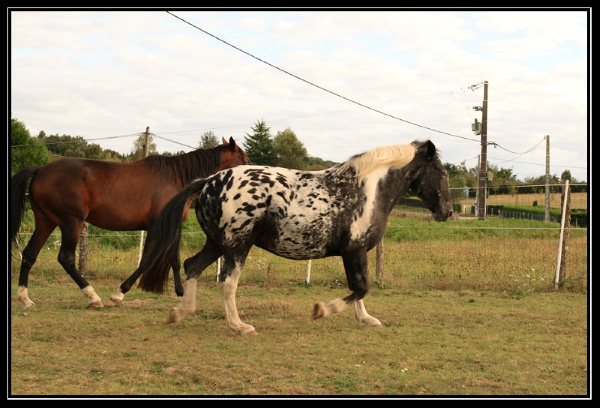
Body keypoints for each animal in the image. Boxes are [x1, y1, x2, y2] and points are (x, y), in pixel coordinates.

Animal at [11, 135, 251, 308]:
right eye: (244, 159)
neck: (177, 178)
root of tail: (41, 170)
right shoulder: (156, 228)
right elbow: (146, 260)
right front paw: (119, 294)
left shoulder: (171, 226)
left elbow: (173, 258)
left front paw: (181, 290)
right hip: (72, 223)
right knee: (66, 259)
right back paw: (93, 297)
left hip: (46, 221)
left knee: (30, 254)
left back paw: (25, 298)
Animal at [138, 140, 452, 334]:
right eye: (440, 171)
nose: (447, 212)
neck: (366, 190)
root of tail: (209, 181)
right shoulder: (355, 250)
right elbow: (361, 287)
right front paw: (321, 310)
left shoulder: (353, 253)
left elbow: (359, 287)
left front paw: (366, 319)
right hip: (237, 246)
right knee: (227, 283)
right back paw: (240, 326)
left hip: (216, 243)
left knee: (192, 266)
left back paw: (180, 312)